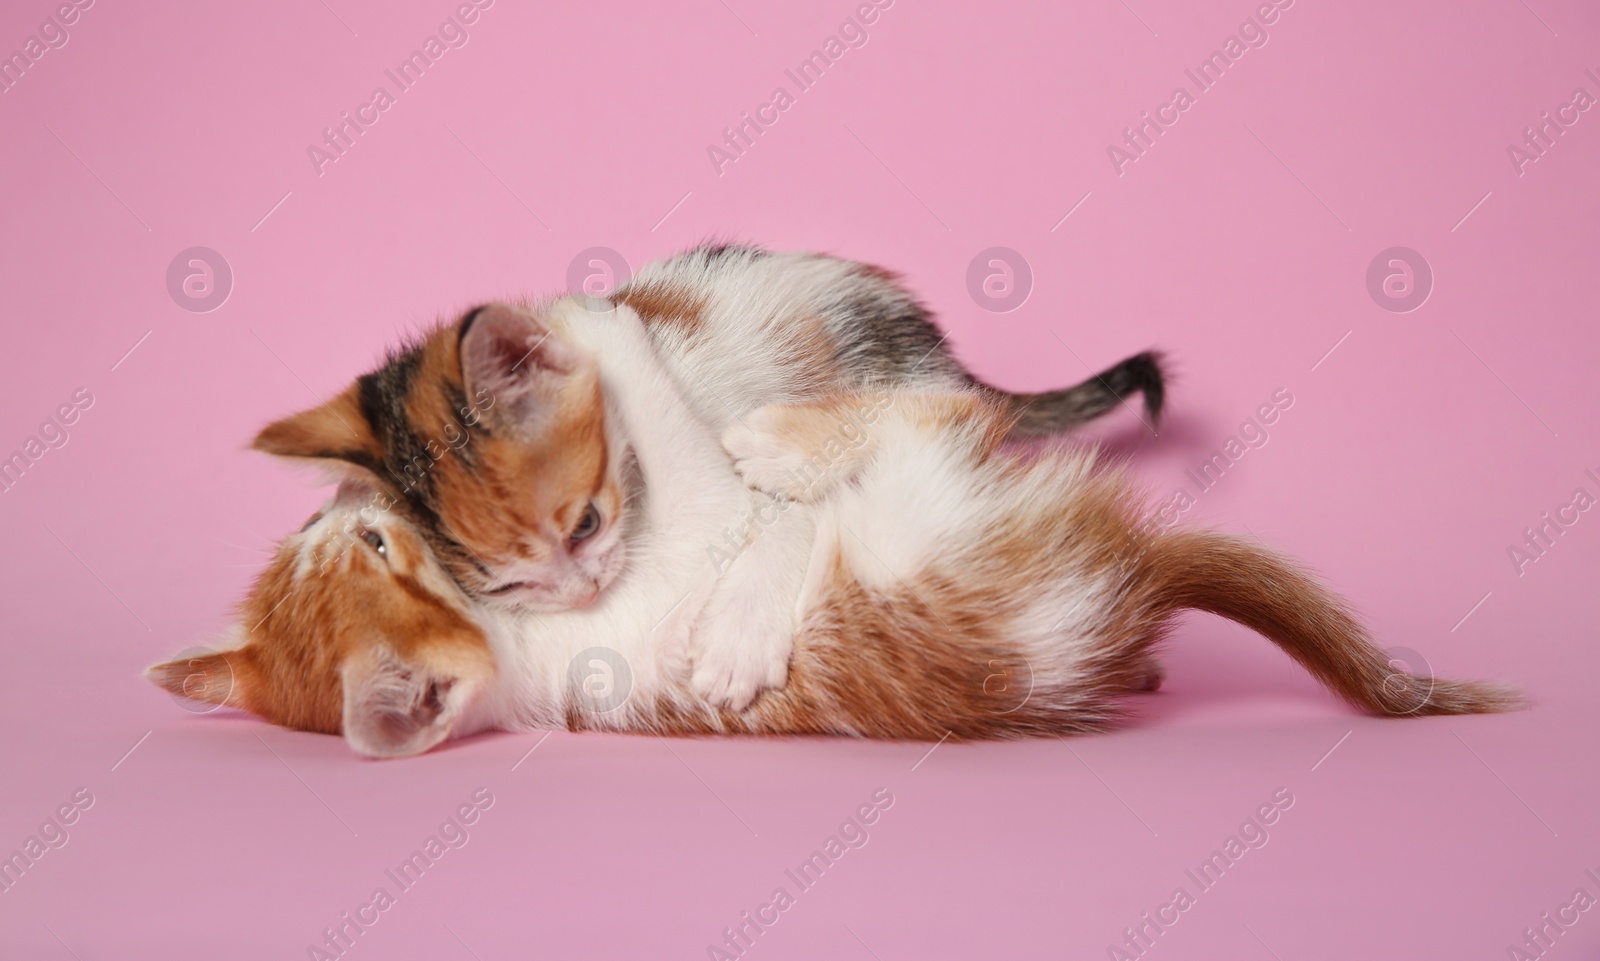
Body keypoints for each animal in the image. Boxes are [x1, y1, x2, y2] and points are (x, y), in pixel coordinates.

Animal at [156, 295, 1516, 754]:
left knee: (948, 405)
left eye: (356, 545)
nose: (346, 508)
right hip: (935, 489)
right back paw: (780, 443)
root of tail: (1126, 582)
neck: (520, 659)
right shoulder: (676, 538)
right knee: (939, 415)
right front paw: (589, 321)